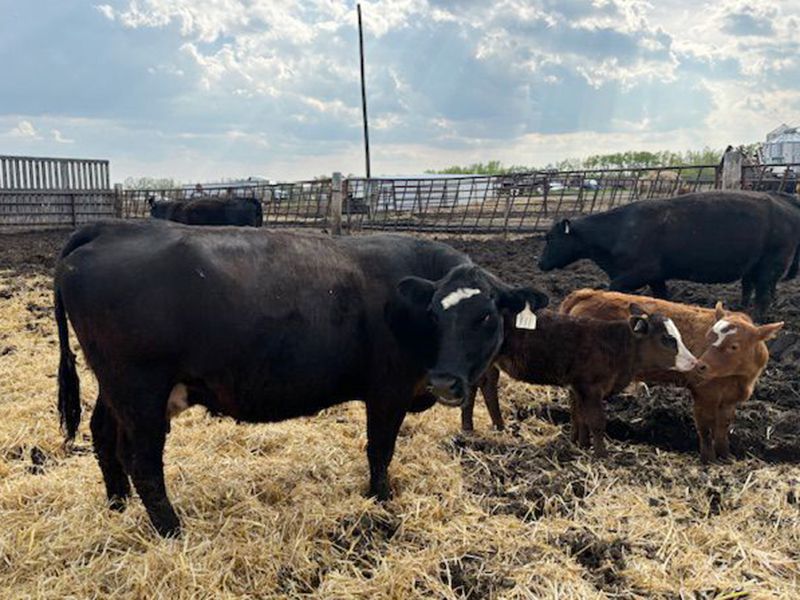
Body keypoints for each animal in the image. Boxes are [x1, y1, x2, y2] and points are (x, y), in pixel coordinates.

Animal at [55, 219, 548, 536]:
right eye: (434, 314)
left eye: (486, 316)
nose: (445, 382)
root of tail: (112, 227)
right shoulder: (387, 391)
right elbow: (380, 450)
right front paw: (381, 501)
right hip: (140, 390)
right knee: (142, 461)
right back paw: (172, 530)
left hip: (116, 388)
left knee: (103, 436)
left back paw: (118, 506)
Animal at [460, 306, 698, 457]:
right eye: (668, 339)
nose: (695, 362)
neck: (615, 346)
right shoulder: (589, 387)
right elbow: (597, 421)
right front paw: (601, 455)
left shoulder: (577, 388)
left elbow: (579, 417)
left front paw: (580, 444)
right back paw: (471, 428)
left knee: (486, 385)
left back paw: (494, 427)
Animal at [538, 190, 800, 318]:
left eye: (550, 238)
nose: (539, 263)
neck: (619, 229)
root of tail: (781, 199)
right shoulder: (656, 276)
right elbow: (661, 298)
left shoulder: (637, 273)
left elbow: (614, 291)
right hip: (755, 266)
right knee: (752, 287)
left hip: (770, 265)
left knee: (763, 295)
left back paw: (758, 319)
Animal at [560, 289, 783, 463]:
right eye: (708, 337)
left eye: (734, 346)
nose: (699, 365)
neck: (739, 378)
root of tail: (589, 294)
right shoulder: (704, 394)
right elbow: (705, 427)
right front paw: (708, 460)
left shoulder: (729, 400)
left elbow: (722, 427)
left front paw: (725, 456)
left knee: (577, 403)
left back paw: (579, 440)